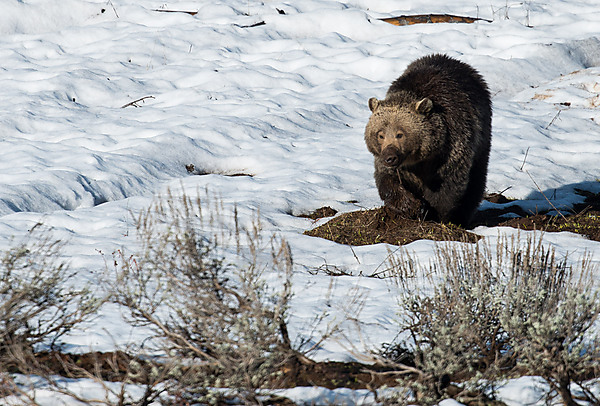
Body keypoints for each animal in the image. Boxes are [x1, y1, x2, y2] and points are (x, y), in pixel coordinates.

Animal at [364, 53, 490, 228]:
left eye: (400, 134)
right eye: (380, 134)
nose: (389, 157)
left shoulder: (451, 148)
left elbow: (447, 188)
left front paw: (434, 214)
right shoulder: (393, 164)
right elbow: (387, 180)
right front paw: (410, 205)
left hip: (481, 139)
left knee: (476, 182)